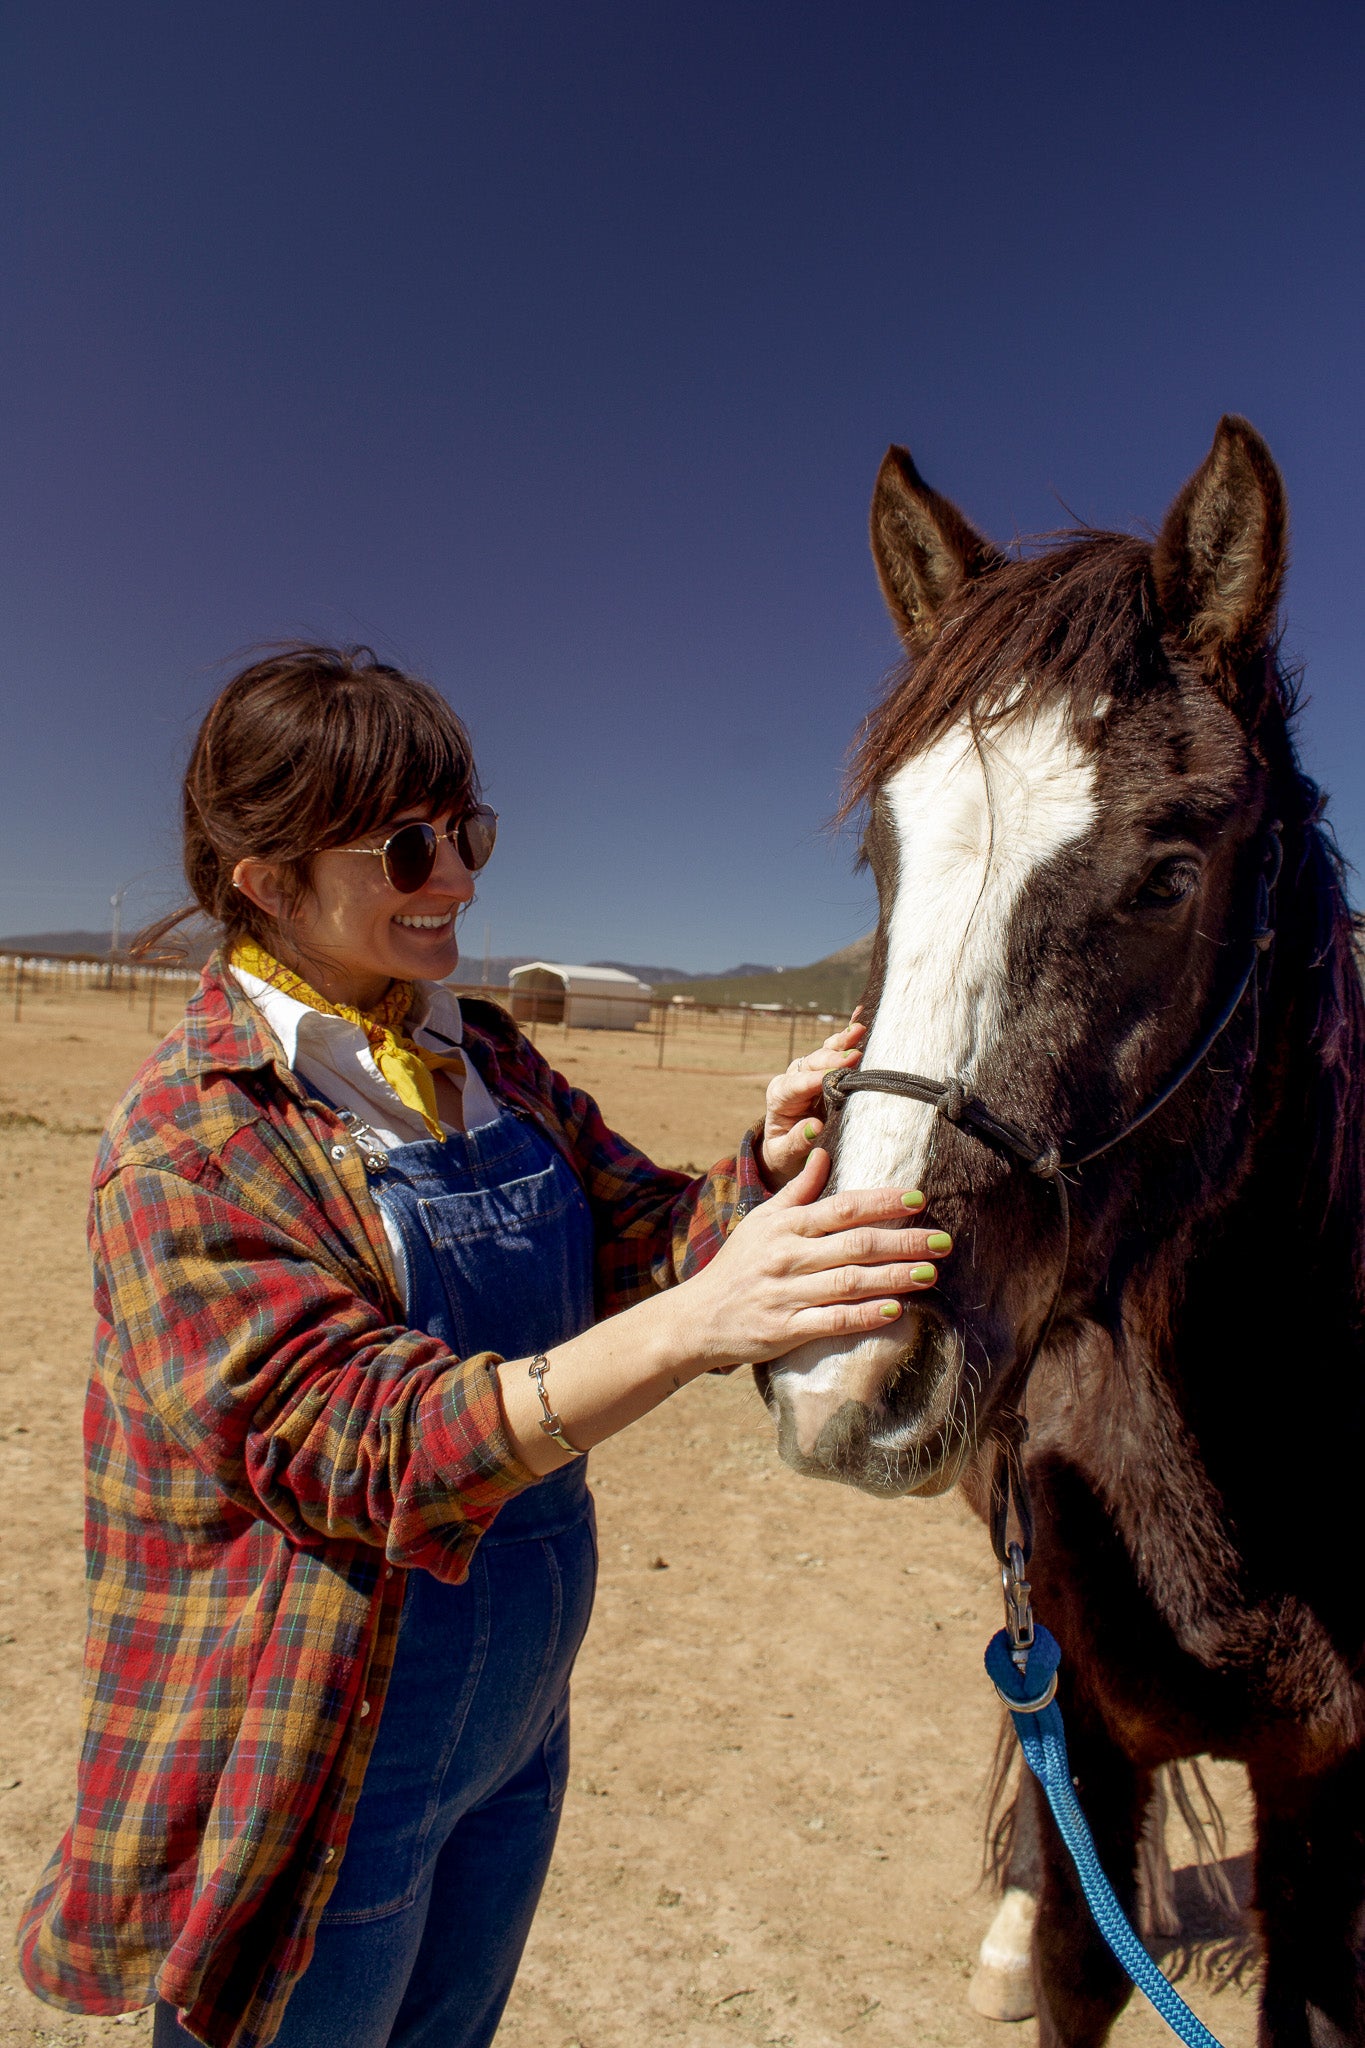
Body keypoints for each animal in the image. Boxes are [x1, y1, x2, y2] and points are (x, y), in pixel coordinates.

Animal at [758, 418, 1365, 2047]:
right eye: (884, 865)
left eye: (1169, 873)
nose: (842, 1367)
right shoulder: (1084, 1707)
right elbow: (1080, 1960)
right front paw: (1035, 1929)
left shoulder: (1337, 1787)